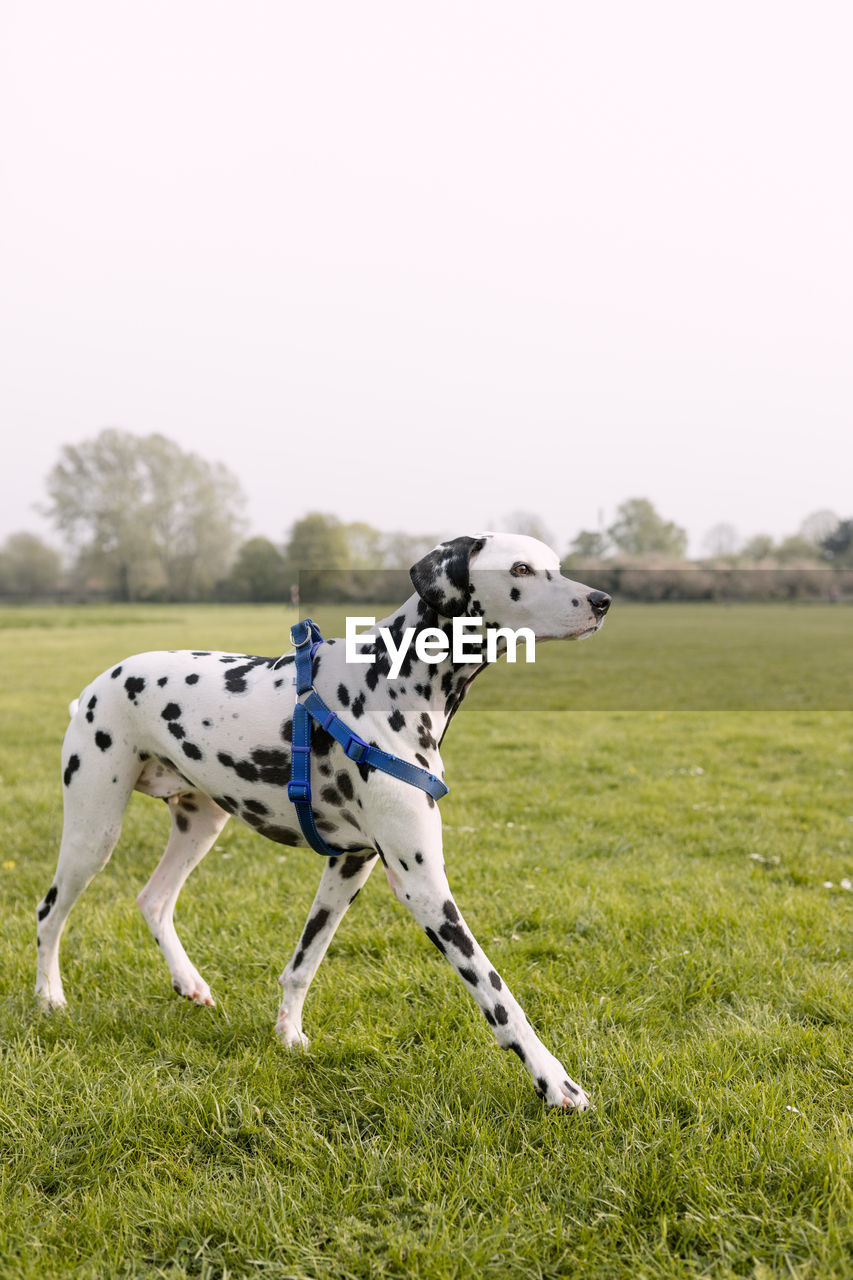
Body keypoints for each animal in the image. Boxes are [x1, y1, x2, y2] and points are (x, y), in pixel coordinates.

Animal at [36, 532, 607, 1111]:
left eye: (556, 564)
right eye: (520, 569)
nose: (602, 601)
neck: (393, 680)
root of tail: (93, 689)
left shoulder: (350, 865)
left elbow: (303, 962)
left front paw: (288, 1034)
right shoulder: (423, 885)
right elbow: (497, 994)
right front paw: (555, 1082)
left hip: (199, 827)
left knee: (153, 899)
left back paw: (188, 982)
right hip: (93, 833)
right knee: (49, 912)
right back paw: (50, 997)